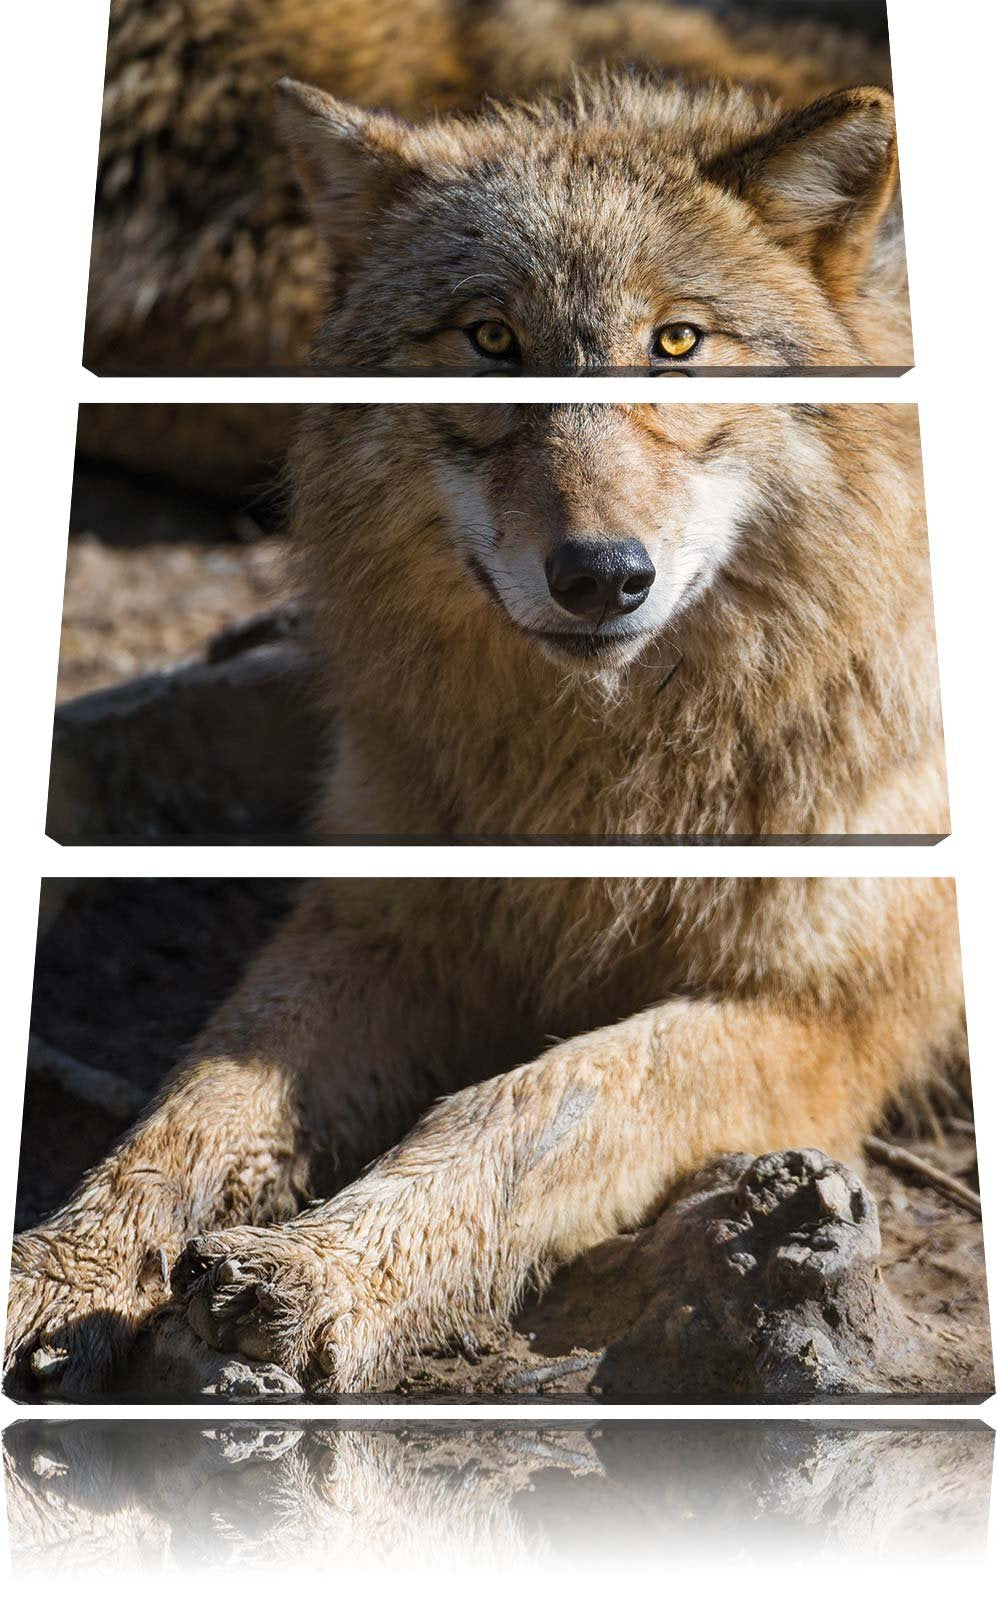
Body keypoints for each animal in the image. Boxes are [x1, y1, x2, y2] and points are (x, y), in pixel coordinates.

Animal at [6, 403, 958, 1395]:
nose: (598, 577)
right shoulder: (393, 930)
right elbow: (199, 1103)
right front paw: (64, 1270)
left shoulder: (815, 1021)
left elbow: (528, 1106)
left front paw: (319, 1271)